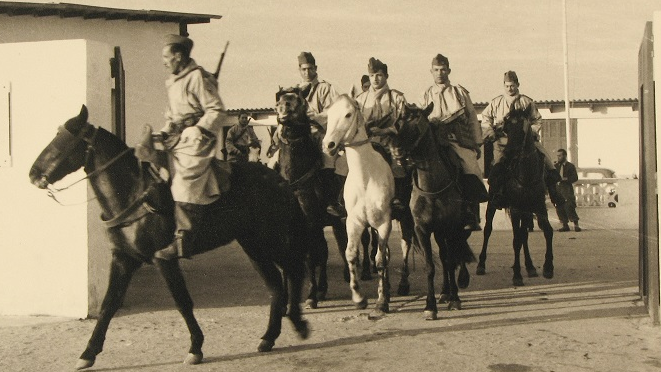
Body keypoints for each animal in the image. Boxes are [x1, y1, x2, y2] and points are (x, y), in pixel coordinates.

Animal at [29, 104, 312, 370]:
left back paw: (299, 324)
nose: (33, 174)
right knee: (276, 285)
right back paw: (268, 338)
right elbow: (109, 304)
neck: (134, 196)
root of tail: (281, 181)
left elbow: (182, 301)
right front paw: (88, 354)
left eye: (63, 140)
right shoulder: (123, 259)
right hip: (253, 246)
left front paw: (195, 348)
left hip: (272, 240)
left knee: (294, 269)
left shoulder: (164, 259)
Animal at [324, 93, 394, 314]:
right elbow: (350, 254)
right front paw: (358, 297)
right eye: (328, 115)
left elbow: (380, 260)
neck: (366, 179)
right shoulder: (353, 223)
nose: (328, 145)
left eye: (348, 114)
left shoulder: (384, 223)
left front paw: (381, 301)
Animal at [392, 103, 474, 322]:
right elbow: (431, 266)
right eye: (398, 122)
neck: (433, 187)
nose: (396, 149)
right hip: (437, 232)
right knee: (445, 256)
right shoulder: (422, 229)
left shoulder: (451, 227)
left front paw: (455, 298)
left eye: (418, 123)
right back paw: (444, 292)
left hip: (454, 229)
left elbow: (451, 259)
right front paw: (430, 306)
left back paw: (458, 284)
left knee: (455, 253)